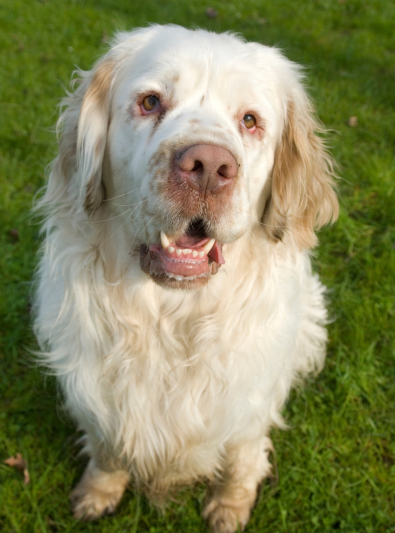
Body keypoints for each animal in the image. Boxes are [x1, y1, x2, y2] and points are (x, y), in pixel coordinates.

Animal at [34, 26, 338, 532]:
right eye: (151, 102)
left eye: (250, 120)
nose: (208, 167)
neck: (171, 320)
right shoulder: (98, 396)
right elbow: (108, 452)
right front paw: (97, 493)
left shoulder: (250, 405)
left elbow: (241, 460)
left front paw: (230, 506)